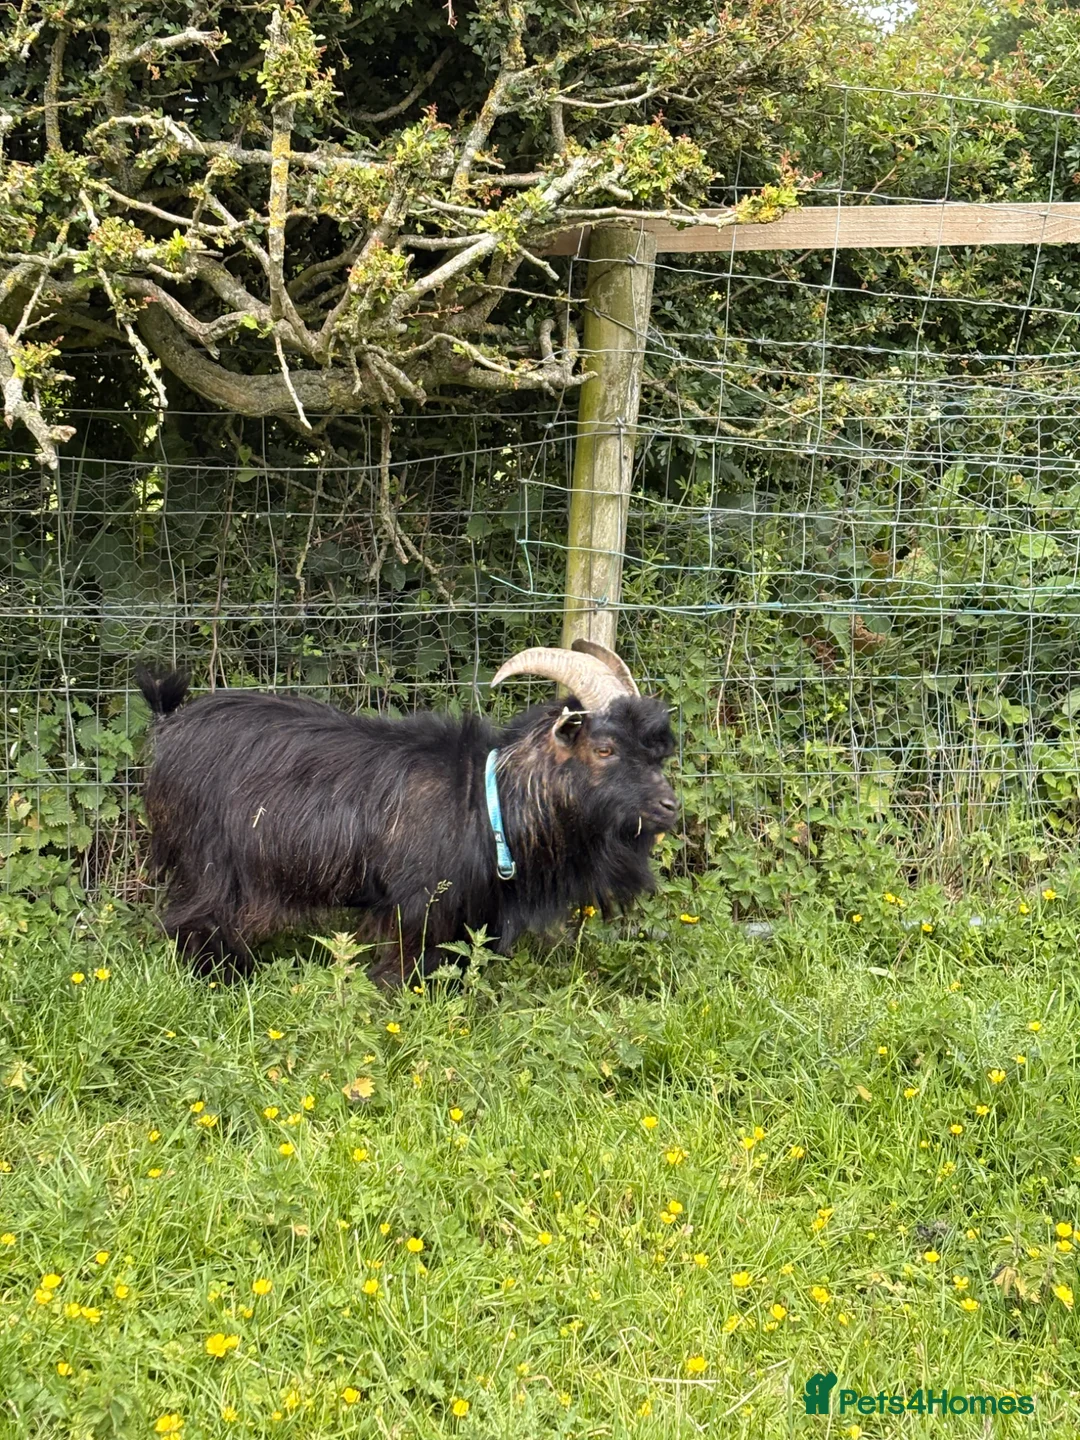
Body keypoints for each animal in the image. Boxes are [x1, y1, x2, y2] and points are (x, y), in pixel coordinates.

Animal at [135, 641, 677, 982]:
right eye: (604, 749)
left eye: (656, 753)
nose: (670, 806)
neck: (485, 800)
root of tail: (168, 724)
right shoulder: (415, 906)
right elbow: (403, 968)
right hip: (209, 862)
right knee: (192, 923)